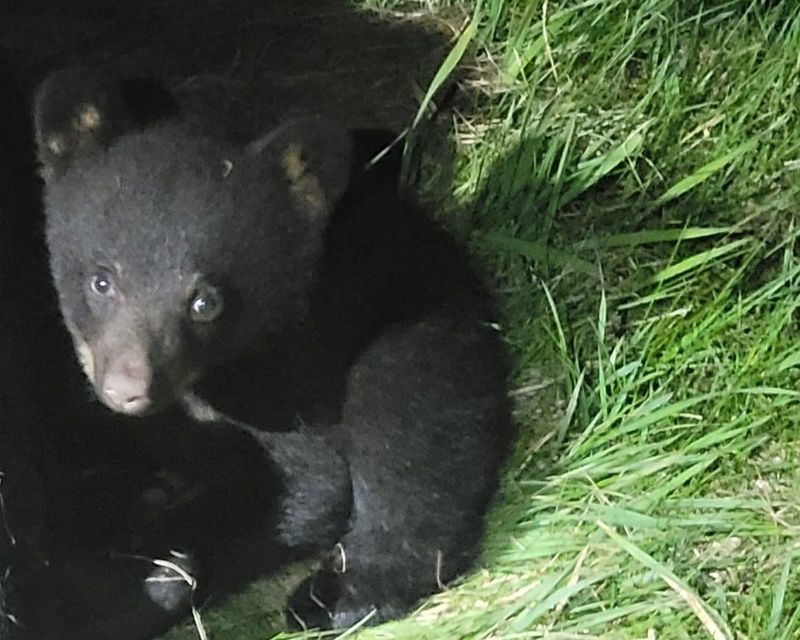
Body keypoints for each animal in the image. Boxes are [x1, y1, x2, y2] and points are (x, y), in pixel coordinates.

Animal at [33, 66, 515, 631]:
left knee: (414, 441)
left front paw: (160, 570)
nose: (130, 389)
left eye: (205, 302)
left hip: (422, 331)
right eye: (102, 280)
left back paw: (339, 594)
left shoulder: (296, 376)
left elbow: (313, 485)